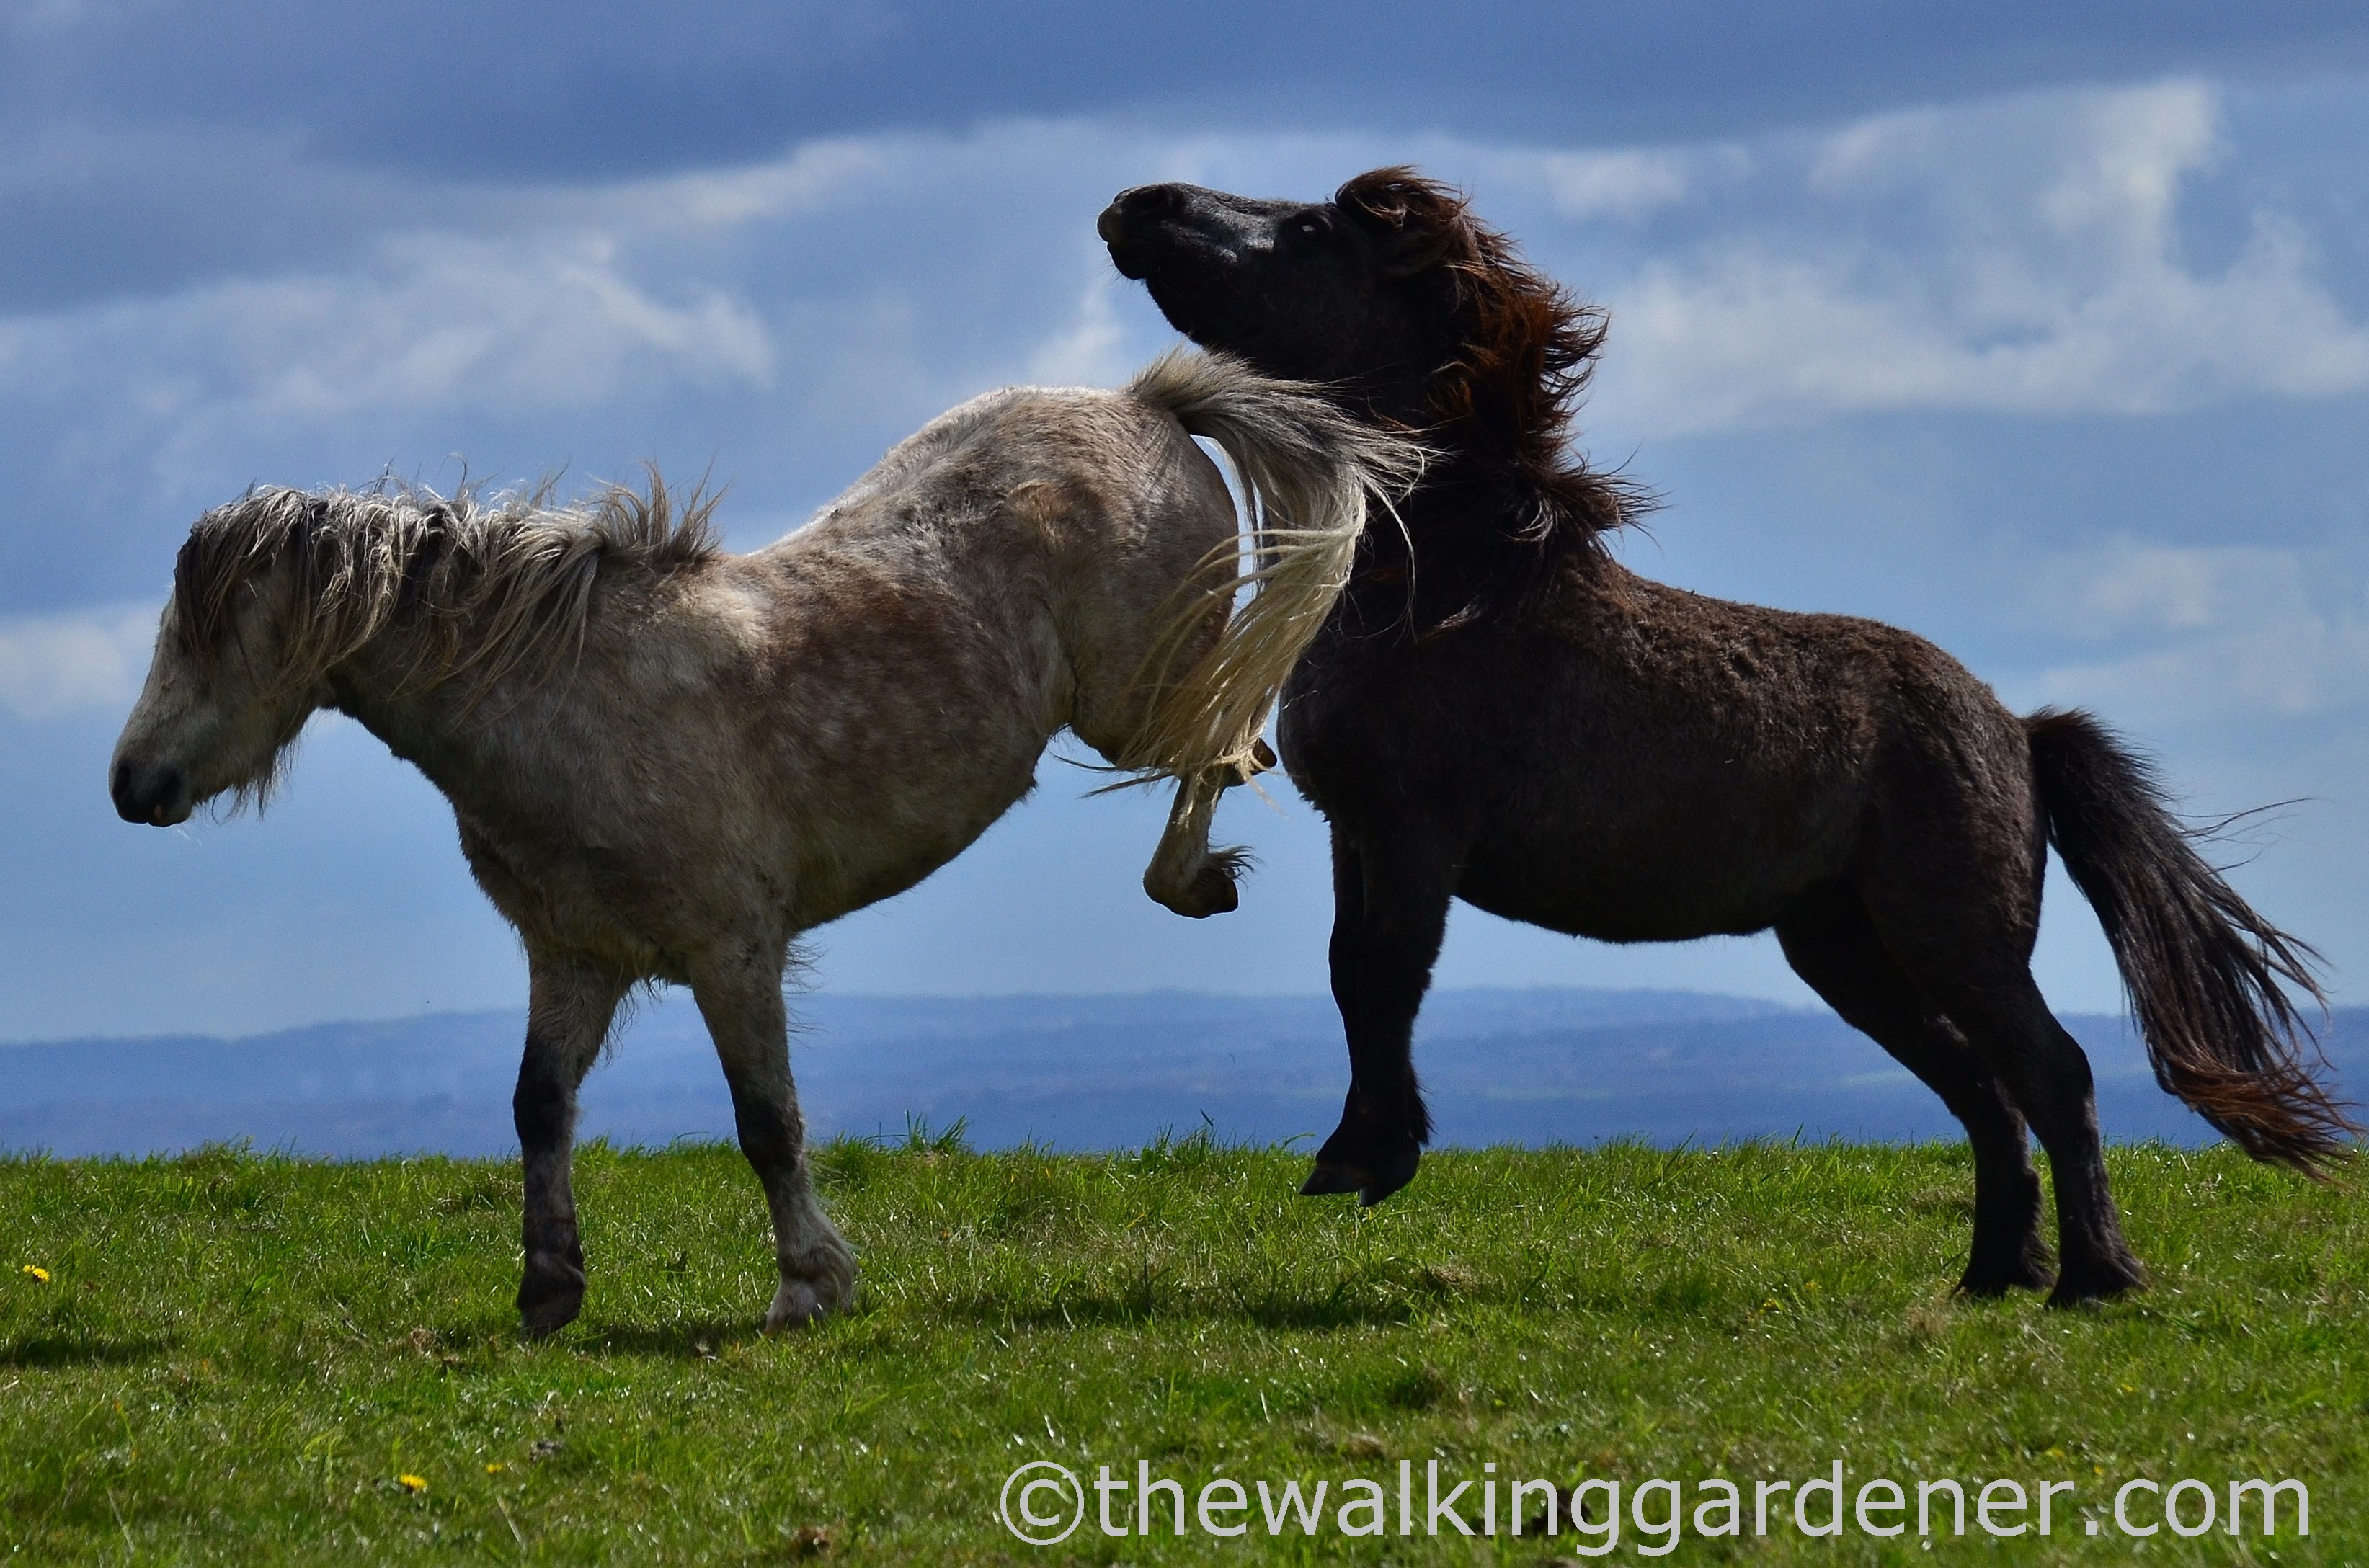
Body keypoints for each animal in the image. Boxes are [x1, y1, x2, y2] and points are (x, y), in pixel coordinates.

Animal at [108, 350, 1420, 1334]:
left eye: (218, 636)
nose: (132, 784)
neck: (567, 701)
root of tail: (1144, 404)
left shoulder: (730, 951)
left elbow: (766, 1121)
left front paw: (807, 1287)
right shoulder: (573, 956)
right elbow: (538, 1107)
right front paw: (548, 1288)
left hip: (1133, 698)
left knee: (1232, 730)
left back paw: (1195, 879)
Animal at [1099, 168, 2356, 1306]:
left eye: (1314, 231)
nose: (1137, 205)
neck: (1444, 586)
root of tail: (2014, 729)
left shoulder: (1412, 836)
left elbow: (1380, 977)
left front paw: (1364, 1158)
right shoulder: (1356, 833)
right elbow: (1347, 976)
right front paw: (1371, 1148)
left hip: (1949, 935)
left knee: (2050, 1074)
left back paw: (2091, 1280)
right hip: (1846, 948)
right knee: (1981, 1091)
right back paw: (1990, 1276)